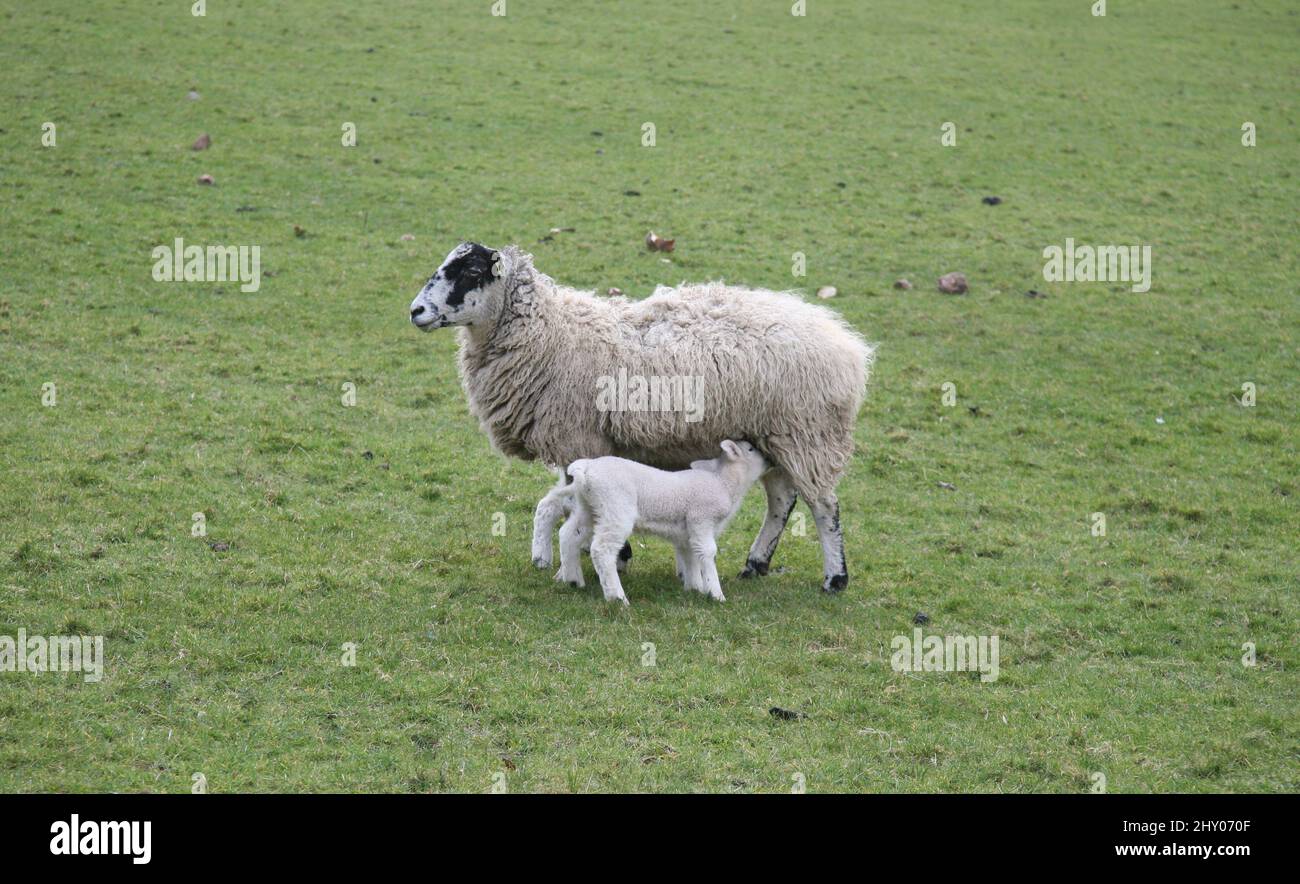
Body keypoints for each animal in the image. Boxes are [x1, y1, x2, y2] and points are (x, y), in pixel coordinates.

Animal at [540, 439, 769, 603]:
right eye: (750, 449)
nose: (769, 460)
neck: (724, 482)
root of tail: (585, 469)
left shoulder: (687, 531)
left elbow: (690, 556)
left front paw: (695, 588)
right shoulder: (701, 519)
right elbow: (707, 552)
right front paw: (716, 594)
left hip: (590, 507)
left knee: (568, 534)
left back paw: (573, 580)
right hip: (616, 508)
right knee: (602, 550)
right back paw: (617, 597)